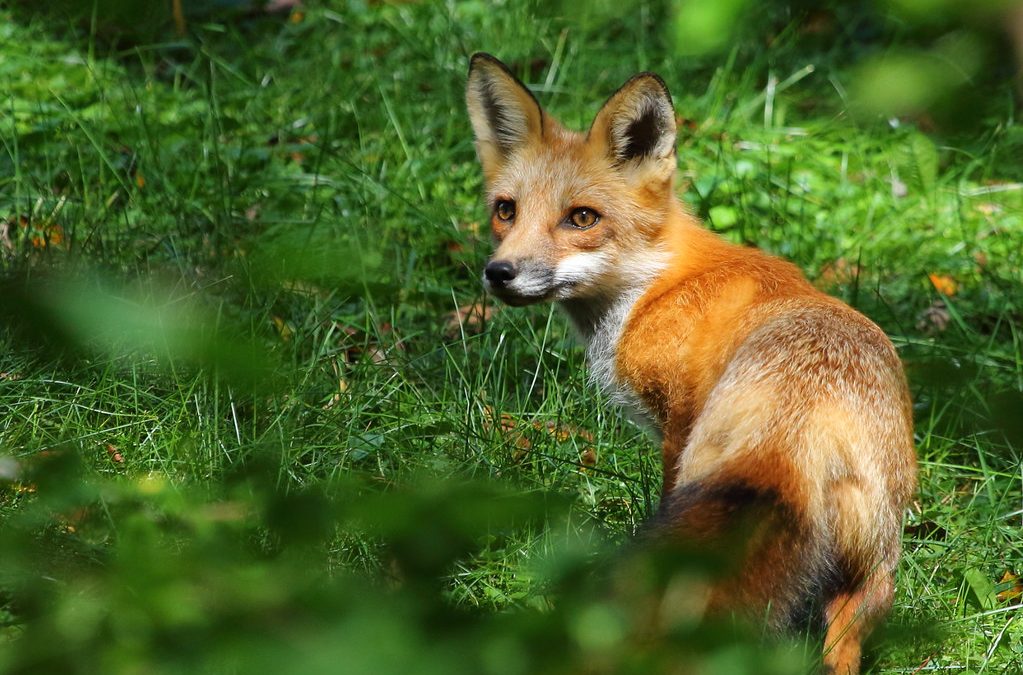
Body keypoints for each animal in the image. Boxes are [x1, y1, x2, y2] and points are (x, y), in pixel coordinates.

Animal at [465, 53, 917, 674]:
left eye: (582, 218)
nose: (500, 273)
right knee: (844, 647)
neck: (655, 285)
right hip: (871, 574)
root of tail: (801, 423)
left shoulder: (675, 427)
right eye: (505, 211)